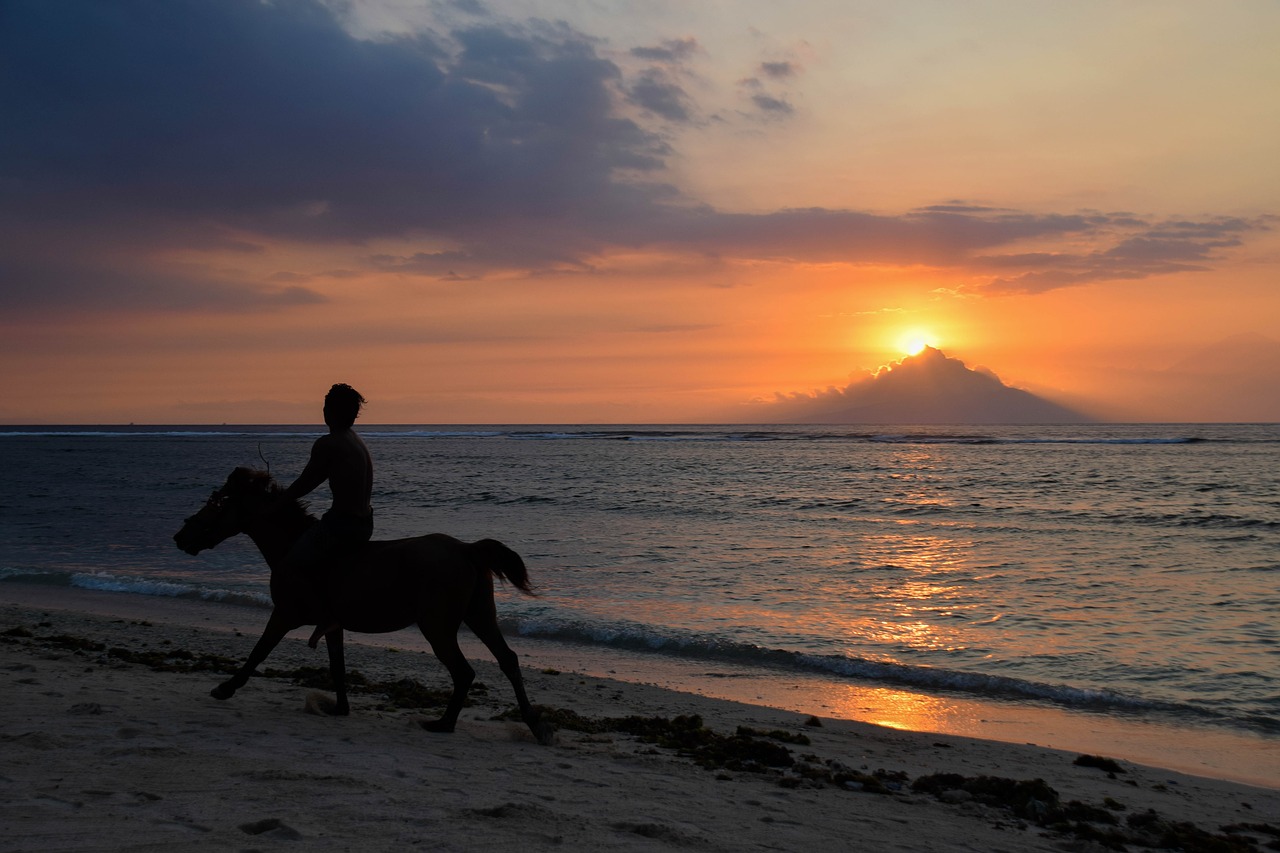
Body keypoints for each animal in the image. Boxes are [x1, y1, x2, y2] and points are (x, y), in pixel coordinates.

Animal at [171, 461, 550, 742]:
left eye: (216, 503)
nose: (180, 536)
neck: (291, 547)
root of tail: (467, 549)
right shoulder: (331, 625)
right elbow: (337, 666)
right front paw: (340, 707)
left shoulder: (285, 614)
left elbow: (258, 652)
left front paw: (225, 688)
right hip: (479, 615)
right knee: (507, 660)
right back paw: (534, 725)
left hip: (438, 626)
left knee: (464, 671)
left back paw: (444, 723)